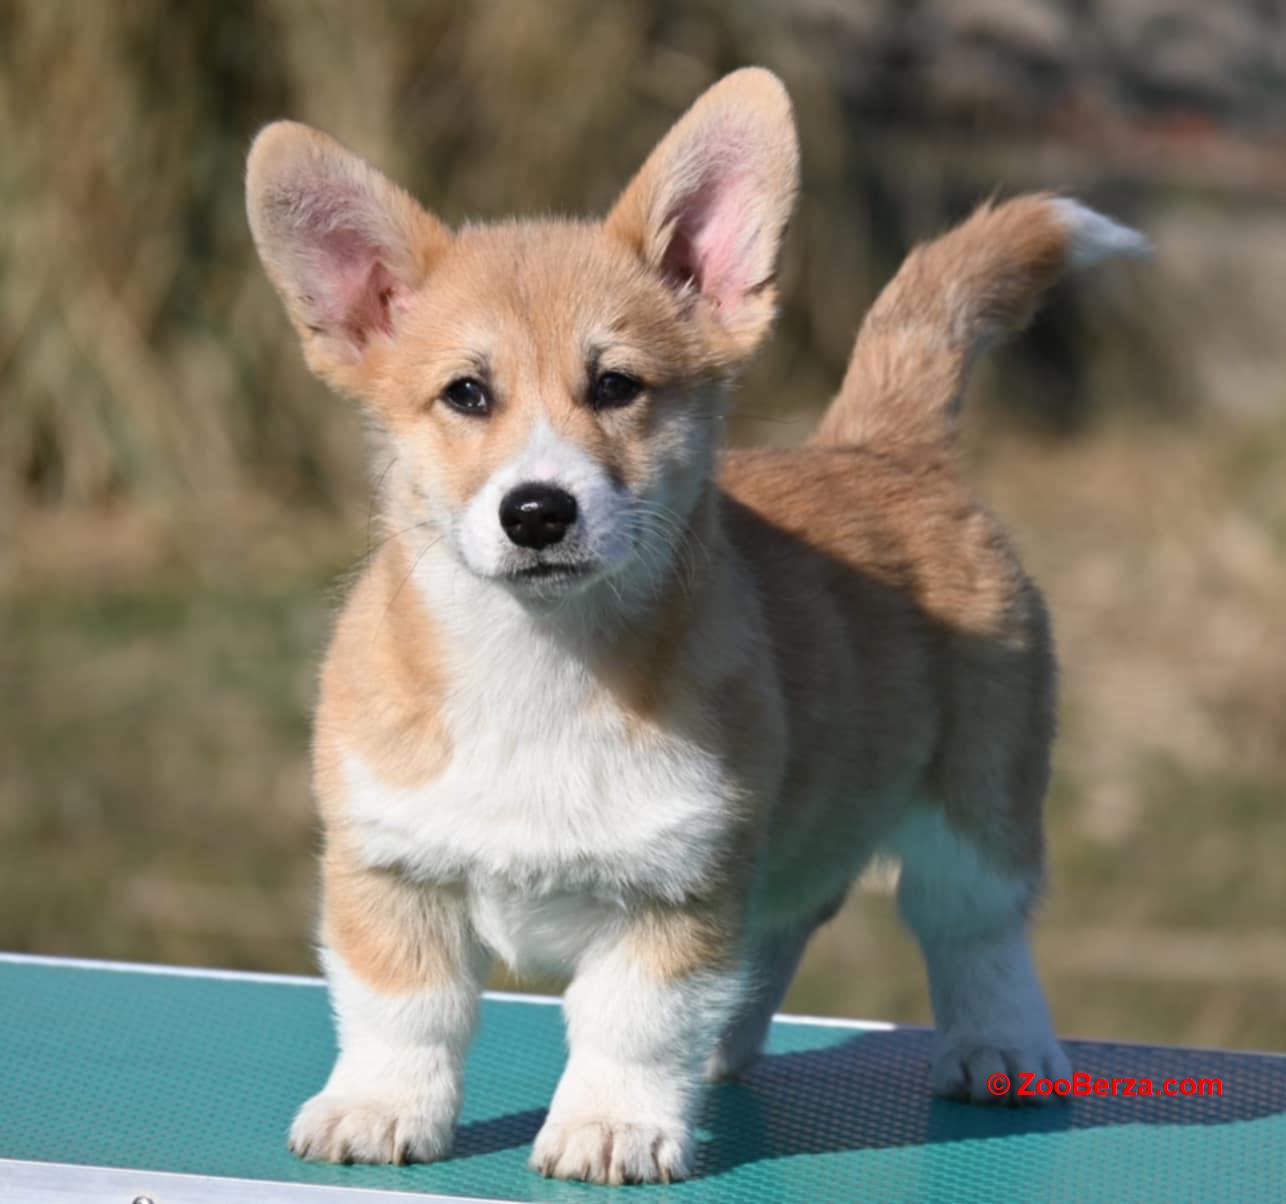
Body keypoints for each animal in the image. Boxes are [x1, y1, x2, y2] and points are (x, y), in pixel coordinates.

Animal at [248, 68, 1147, 1183]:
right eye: (465, 394)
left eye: (615, 386)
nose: (537, 511)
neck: (540, 664)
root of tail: (881, 447)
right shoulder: (389, 867)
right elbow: (401, 1011)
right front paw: (376, 1107)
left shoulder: (676, 890)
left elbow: (630, 1023)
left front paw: (612, 1125)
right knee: (783, 925)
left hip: (974, 808)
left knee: (974, 931)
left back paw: (1001, 1046)